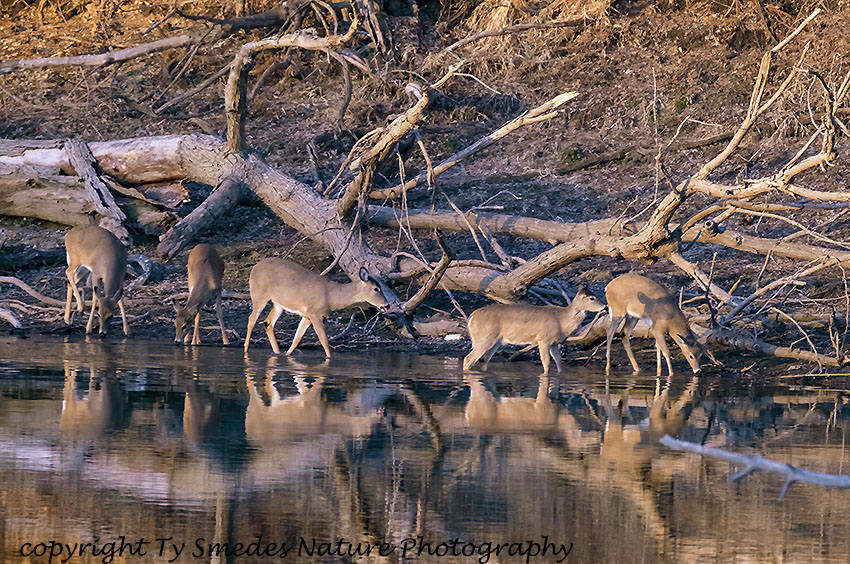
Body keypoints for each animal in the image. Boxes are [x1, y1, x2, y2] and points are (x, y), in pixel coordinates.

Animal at [243, 258, 389, 357]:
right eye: (376, 289)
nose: (387, 304)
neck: (331, 297)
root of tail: (254, 268)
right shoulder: (314, 313)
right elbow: (324, 341)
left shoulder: (307, 315)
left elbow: (296, 339)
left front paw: (287, 356)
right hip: (259, 295)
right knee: (251, 319)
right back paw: (246, 351)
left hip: (278, 304)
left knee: (268, 322)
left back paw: (277, 352)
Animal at [462, 286, 606, 374]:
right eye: (592, 298)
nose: (604, 307)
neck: (561, 320)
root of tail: (471, 317)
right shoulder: (543, 339)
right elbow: (546, 364)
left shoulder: (554, 343)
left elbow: (559, 363)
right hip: (484, 339)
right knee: (468, 359)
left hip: (495, 342)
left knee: (485, 360)